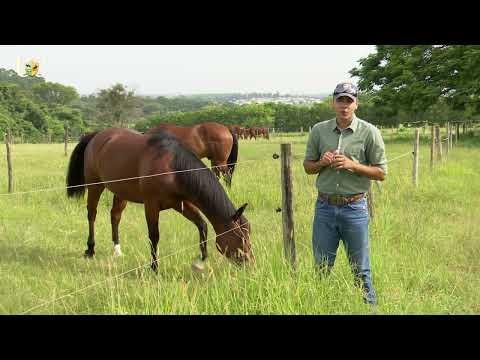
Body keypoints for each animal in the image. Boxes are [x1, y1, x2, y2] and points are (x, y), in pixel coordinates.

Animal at [68, 128, 255, 272]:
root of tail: (97, 135)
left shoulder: (181, 203)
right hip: (95, 186)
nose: (250, 263)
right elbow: (154, 236)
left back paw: (117, 250)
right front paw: (154, 267)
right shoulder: (151, 205)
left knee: (115, 216)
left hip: (121, 192)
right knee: (92, 214)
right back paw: (90, 249)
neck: (172, 167)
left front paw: (200, 262)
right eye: (240, 237)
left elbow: (202, 225)